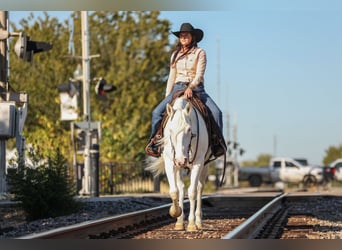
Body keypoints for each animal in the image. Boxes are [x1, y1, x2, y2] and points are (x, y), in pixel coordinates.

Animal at [146, 96, 210, 231]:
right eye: (170, 130)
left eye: (189, 129)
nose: (181, 160)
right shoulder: (170, 163)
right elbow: (174, 191)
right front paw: (176, 212)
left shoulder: (198, 163)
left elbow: (192, 192)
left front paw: (191, 224)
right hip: (178, 168)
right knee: (181, 188)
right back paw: (180, 222)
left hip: (205, 166)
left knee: (199, 188)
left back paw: (198, 221)